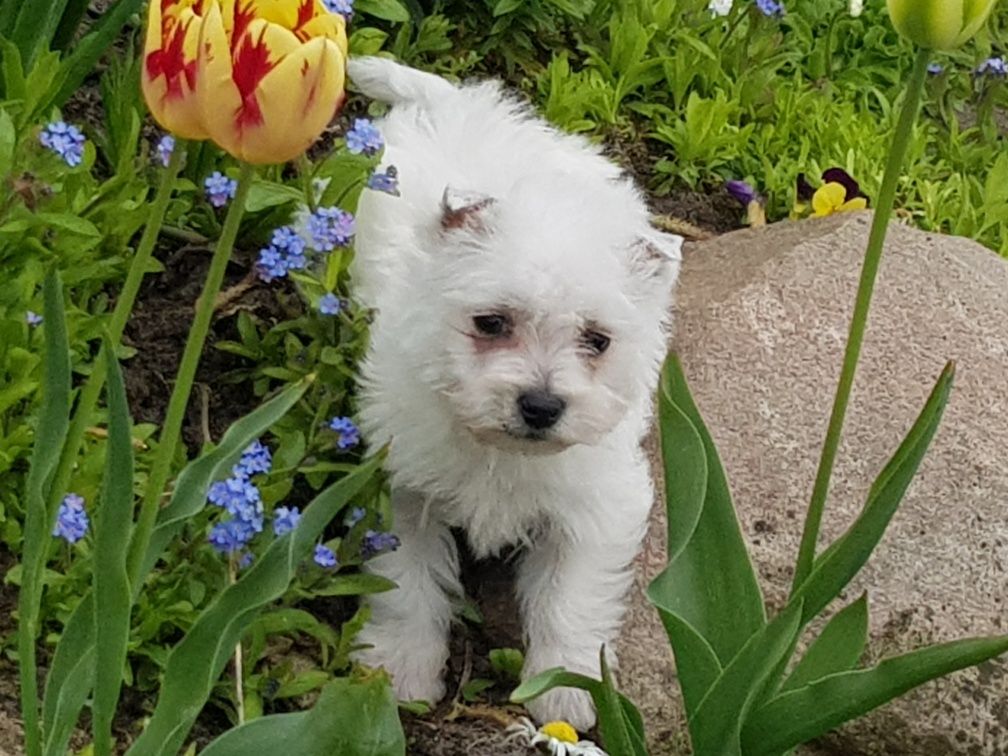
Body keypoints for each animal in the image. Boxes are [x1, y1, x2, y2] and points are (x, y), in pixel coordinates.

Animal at [346, 56, 685, 729]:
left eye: (597, 339)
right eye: (491, 323)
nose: (542, 405)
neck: (498, 450)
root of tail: (459, 102)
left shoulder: (596, 507)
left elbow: (571, 596)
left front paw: (568, 690)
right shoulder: (401, 487)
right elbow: (405, 581)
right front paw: (398, 669)